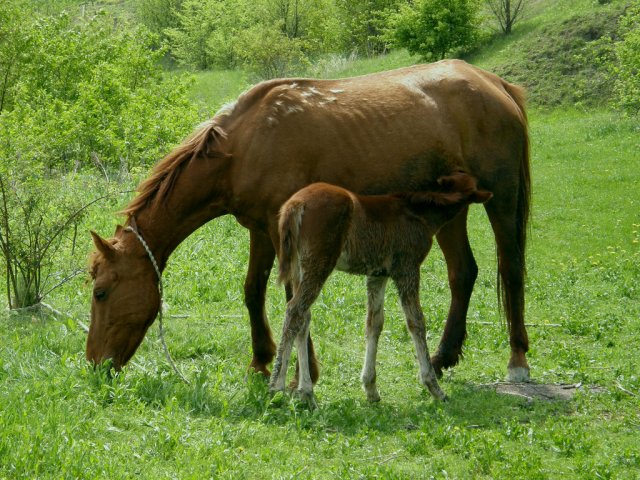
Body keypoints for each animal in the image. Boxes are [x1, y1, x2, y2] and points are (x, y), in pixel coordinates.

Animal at [268, 172, 492, 404]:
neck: (419, 213)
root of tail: (295, 204)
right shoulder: (407, 269)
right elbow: (416, 322)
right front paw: (433, 386)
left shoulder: (377, 275)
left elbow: (374, 323)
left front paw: (371, 388)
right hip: (319, 265)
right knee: (295, 311)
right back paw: (277, 385)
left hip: (299, 270)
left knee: (303, 318)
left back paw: (306, 392)